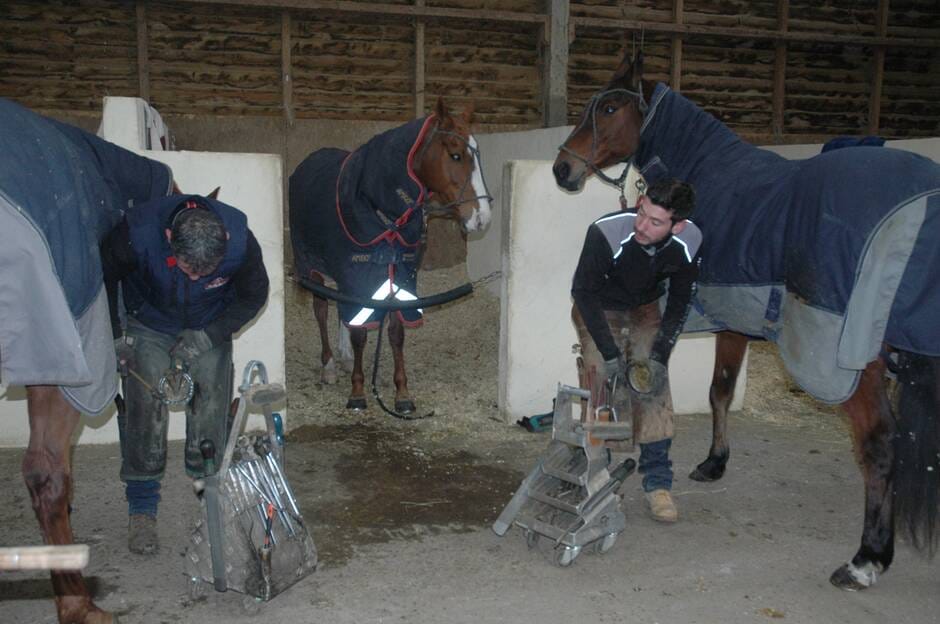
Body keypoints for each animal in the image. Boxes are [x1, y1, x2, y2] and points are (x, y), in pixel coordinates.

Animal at [288, 98, 492, 414]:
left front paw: (402, 393)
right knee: (322, 309)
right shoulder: (358, 274)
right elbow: (360, 332)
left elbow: (396, 332)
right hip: (311, 264)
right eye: (455, 155)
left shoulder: (401, 276)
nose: (482, 218)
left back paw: (344, 358)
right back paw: (330, 365)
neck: (377, 205)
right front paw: (358, 392)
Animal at [552, 51, 940, 588]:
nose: (561, 167)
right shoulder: (734, 321)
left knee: (880, 444)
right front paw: (714, 462)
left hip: (856, 364)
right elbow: (720, 389)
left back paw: (866, 559)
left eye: (608, 108)